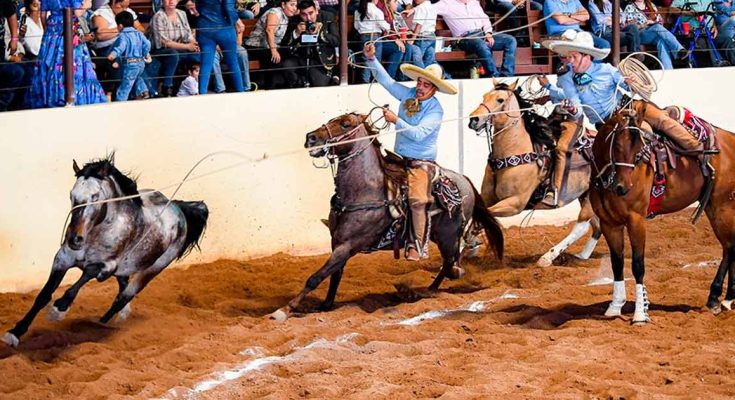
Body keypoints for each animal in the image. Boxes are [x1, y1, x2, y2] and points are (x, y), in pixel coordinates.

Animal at [1, 155, 208, 348]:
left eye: (94, 196)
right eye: (71, 194)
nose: (74, 239)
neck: (98, 232)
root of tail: (178, 208)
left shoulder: (107, 266)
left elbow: (86, 274)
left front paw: (59, 309)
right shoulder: (62, 259)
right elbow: (43, 295)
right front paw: (14, 333)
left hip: (151, 270)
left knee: (123, 297)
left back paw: (101, 324)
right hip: (127, 269)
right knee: (122, 288)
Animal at [270, 112, 506, 322]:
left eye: (345, 124)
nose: (311, 137)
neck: (365, 192)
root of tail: (464, 180)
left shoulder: (347, 245)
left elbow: (315, 277)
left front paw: (284, 310)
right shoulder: (336, 242)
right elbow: (335, 274)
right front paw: (326, 305)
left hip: (448, 236)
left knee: (449, 262)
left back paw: (428, 291)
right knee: (451, 261)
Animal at [468, 79, 600, 268]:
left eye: (500, 100)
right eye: (484, 96)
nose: (474, 119)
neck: (514, 152)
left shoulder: (515, 203)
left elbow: (484, 216)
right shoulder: (487, 199)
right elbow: (477, 216)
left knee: (582, 226)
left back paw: (547, 258)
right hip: (585, 195)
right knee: (596, 226)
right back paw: (582, 256)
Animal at [588, 103, 735, 324]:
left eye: (639, 151)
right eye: (617, 146)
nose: (623, 187)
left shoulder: (636, 220)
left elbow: (637, 265)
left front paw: (640, 314)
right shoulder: (609, 223)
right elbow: (617, 263)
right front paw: (615, 306)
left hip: (722, 206)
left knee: (729, 248)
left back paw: (716, 299)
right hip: (713, 206)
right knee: (731, 247)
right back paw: (726, 299)